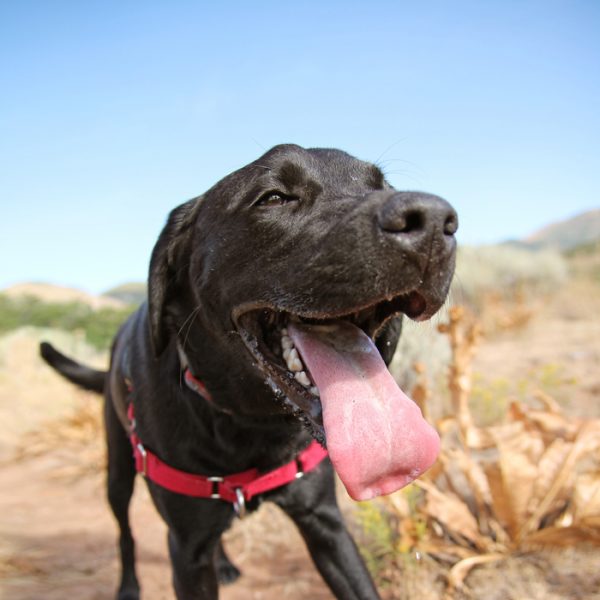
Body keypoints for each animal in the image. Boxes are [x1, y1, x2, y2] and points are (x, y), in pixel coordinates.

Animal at [41, 143, 454, 596]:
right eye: (273, 197)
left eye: (383, 187)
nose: (434, 221)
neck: (247, 423)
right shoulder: (186, 550)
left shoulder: (325, 524)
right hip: (117, 468)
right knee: (125, 533)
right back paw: (129, 585)